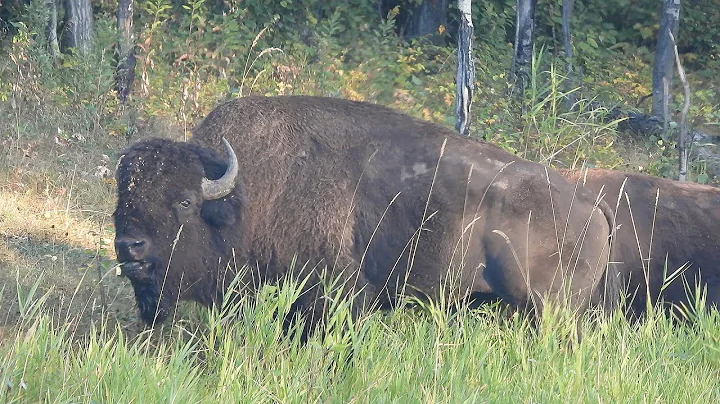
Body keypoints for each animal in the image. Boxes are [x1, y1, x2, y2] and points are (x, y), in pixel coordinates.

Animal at [114, 95, 619, 333]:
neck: (244, 195)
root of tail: (590, 207)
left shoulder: (331, 297)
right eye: (122, 198)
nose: (129, 246)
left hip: (551, 311)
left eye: (183, 202)